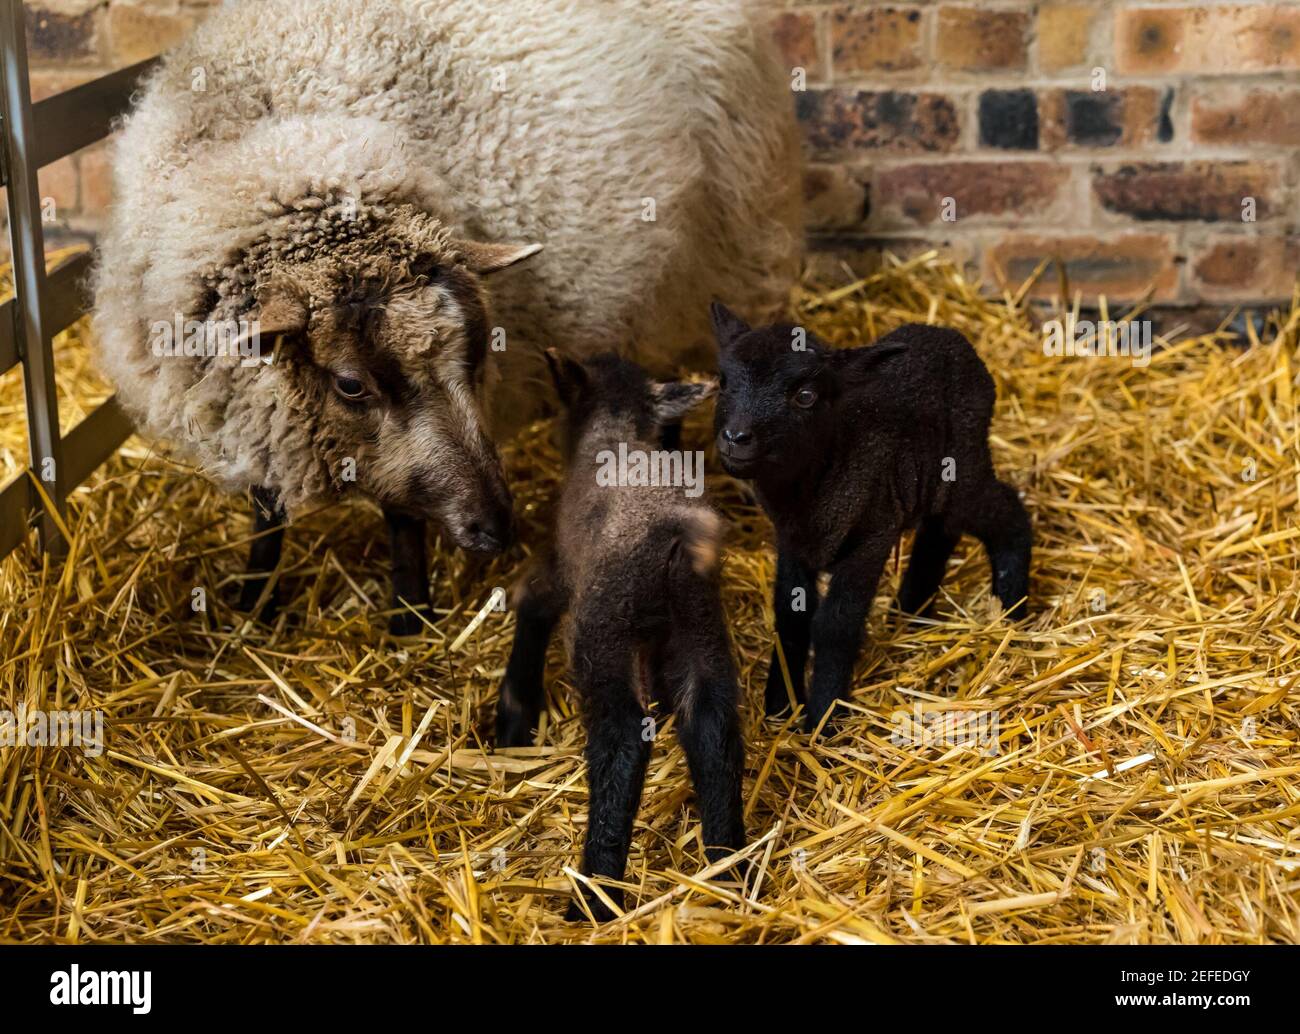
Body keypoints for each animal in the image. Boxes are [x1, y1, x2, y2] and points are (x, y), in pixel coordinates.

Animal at [493, 348, 743, 920]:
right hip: (700, 627)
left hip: (603, 634)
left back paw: (594, 895)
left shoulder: (564, 571)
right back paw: (730, 871)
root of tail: (672, 534)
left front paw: (514, 714)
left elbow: (532, 602)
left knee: (623, 740)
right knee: (711, 725)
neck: (615, 429)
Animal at [707, 303, 1029, 733]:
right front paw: (779, 706)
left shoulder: (870, 536)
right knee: (938, 531)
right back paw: (911, 614)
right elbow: (791, 618)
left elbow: (834, 626)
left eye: (806, 396)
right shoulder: (791, 542)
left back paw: (1012, 609)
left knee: (1006, 512)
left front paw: (823, 720)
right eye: (723, 381)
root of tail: (948, 334)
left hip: (964, 470)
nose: (736, 438)